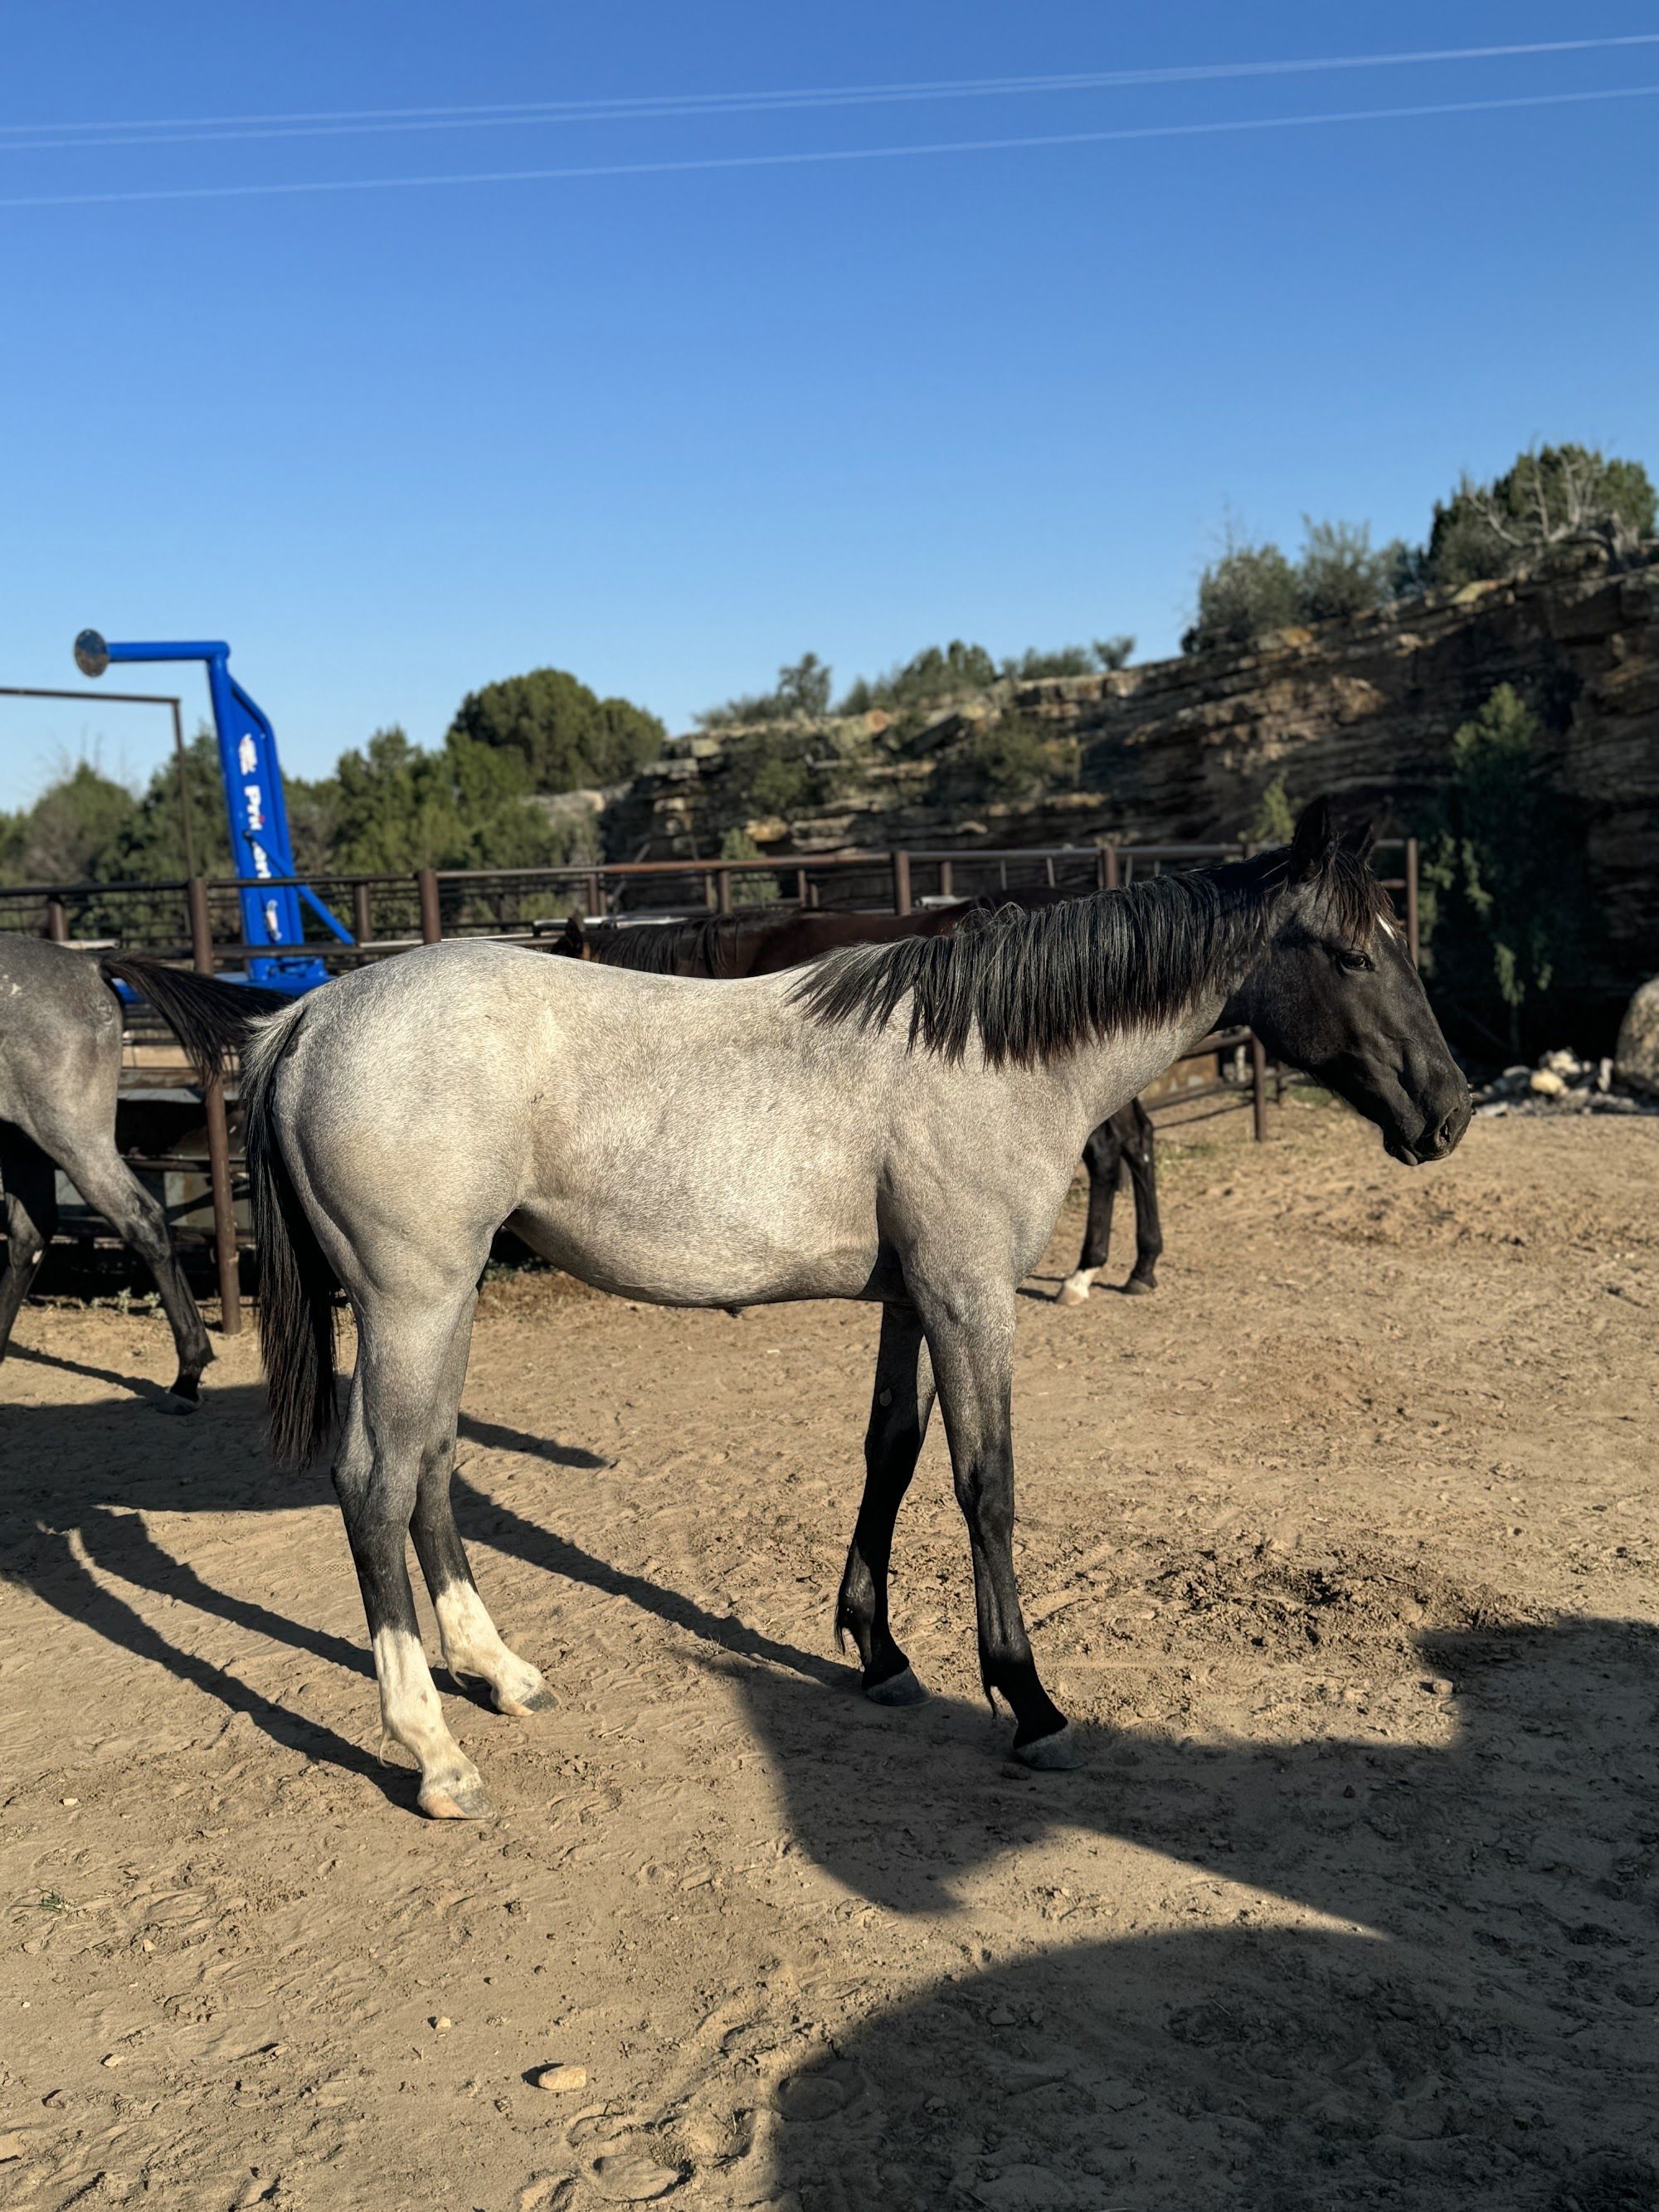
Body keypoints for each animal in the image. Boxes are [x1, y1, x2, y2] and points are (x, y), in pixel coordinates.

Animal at [0, 939, 288, 1405]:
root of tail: (89, 962)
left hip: (69, 1135)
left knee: (142, 1220)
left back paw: (189, 1371)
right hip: (22, 1137)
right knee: (29, 1235)